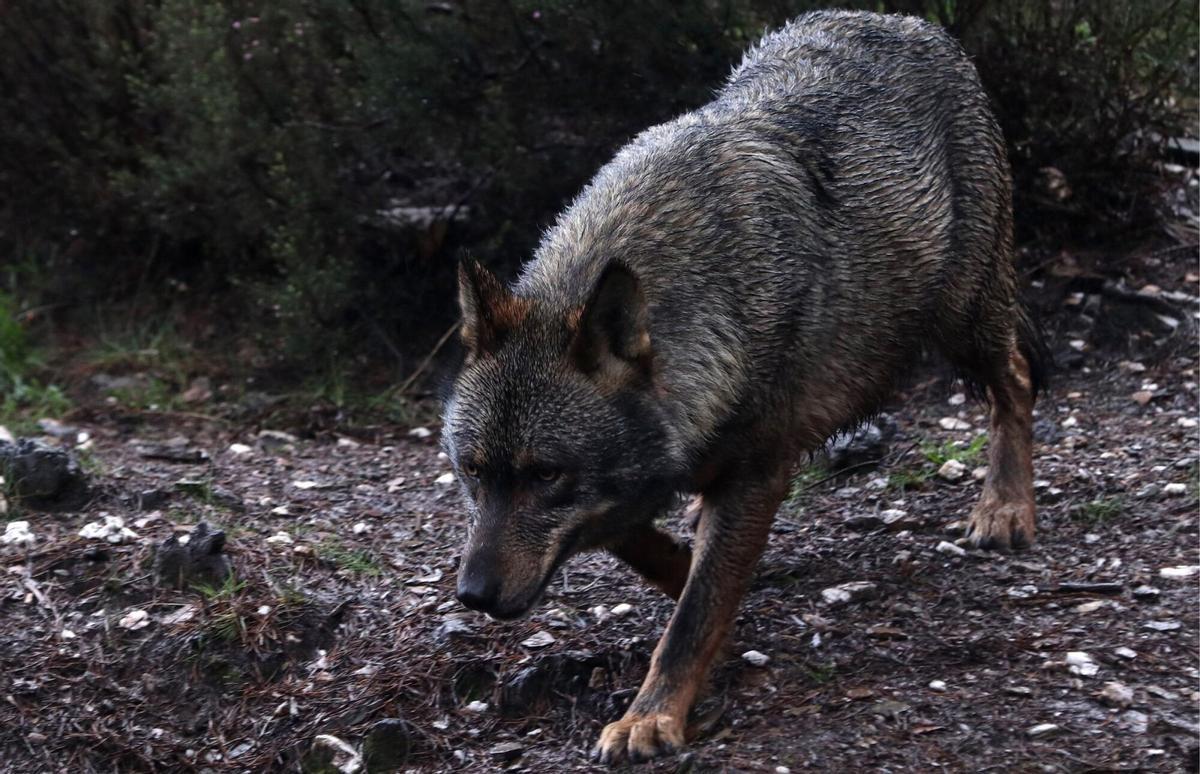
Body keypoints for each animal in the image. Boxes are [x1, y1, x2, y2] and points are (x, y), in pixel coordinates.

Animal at [440, 9, 1044, 764]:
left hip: (965, 318)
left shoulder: (758, 472)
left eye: (545, 474)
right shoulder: (663, 478)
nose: (472, 595)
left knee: (1015, 381)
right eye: (472, 472)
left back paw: (1006, 508)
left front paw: (651, 718)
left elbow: (693, 616)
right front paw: (703, 578)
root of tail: (907, 22)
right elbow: (653, 548)